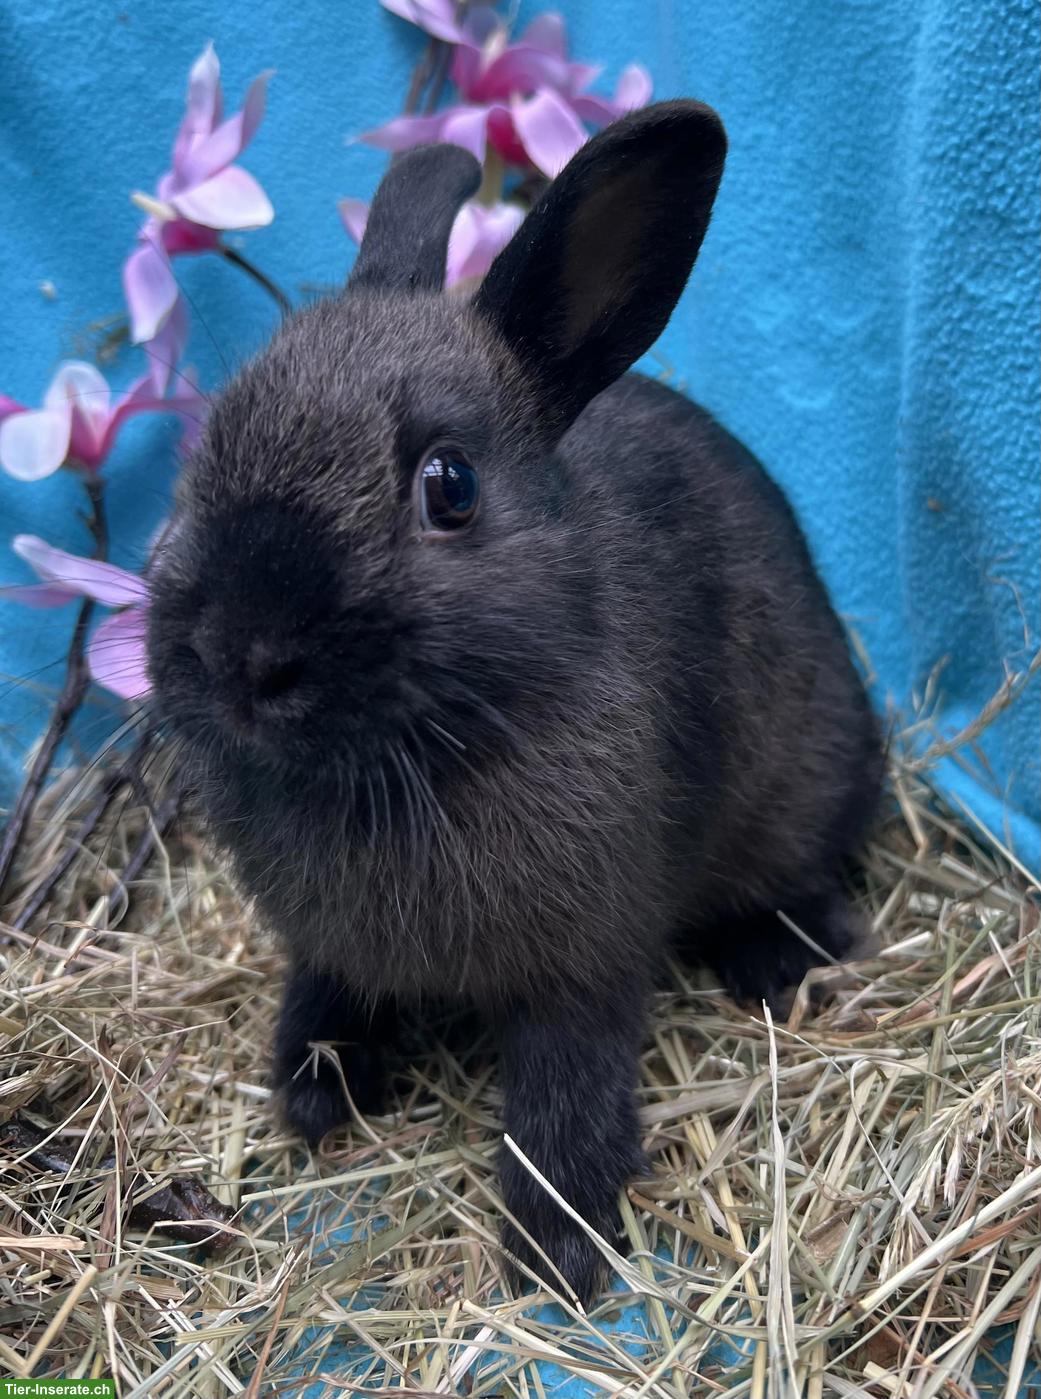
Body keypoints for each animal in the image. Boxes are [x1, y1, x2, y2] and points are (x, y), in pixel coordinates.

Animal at [146, 100, 883, 1303]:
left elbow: (561, 1102)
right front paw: (314, 1091)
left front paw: (556, 1253)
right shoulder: (333, 946)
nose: (236, 653)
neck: (418, 755)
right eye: (206, 451)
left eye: (449, 486)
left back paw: (775, 962)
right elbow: (330, 993)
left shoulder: (581, 970)